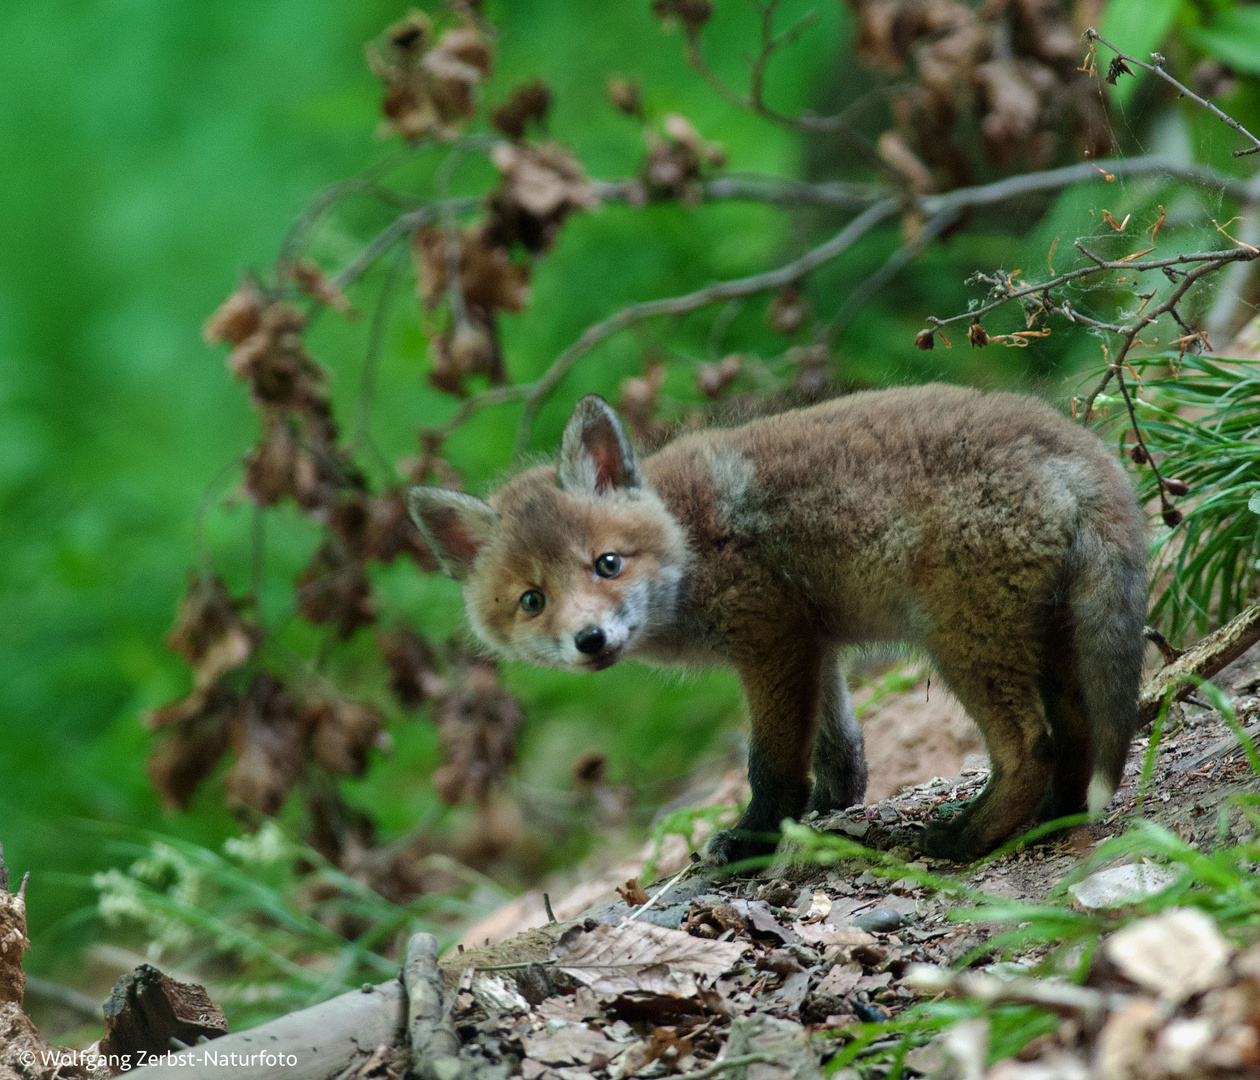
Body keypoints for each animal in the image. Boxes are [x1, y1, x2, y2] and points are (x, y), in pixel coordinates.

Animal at [408, 383, 1149, 861]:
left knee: (1032, 747)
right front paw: (828, 810)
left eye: (606, 564)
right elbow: (839, 747)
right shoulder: (814, 644)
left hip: (960, 641)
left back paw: (963, 839)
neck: (688, 539)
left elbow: (771, 764)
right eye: (532, 600)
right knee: (1077, 736)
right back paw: (1051, 820)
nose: (590, 641)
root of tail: (1076, 442)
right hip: (1045, 639)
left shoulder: (771, 641)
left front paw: (756, 839)